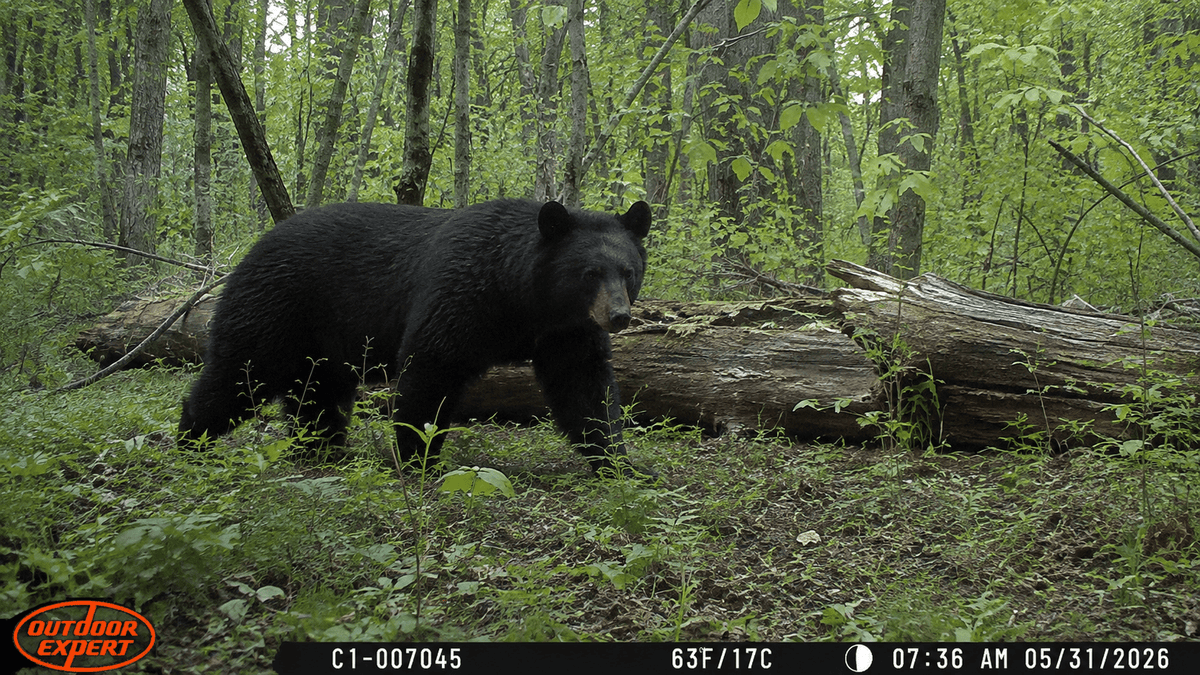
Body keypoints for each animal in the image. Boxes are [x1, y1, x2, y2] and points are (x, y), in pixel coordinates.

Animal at [178, 198, 653, 477]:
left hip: (323, 344)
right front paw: (417, 459)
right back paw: (192, 441)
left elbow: (584, 389)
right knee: (239, 373)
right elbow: (431, 368)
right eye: (589, 273)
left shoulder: (566, 331)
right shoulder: (460, 294)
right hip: (277, 309)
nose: (618, 316)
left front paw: (623, 464)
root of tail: (251, 250)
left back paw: (323, 450)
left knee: (318, 395)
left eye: (628, 271)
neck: (524, 299)